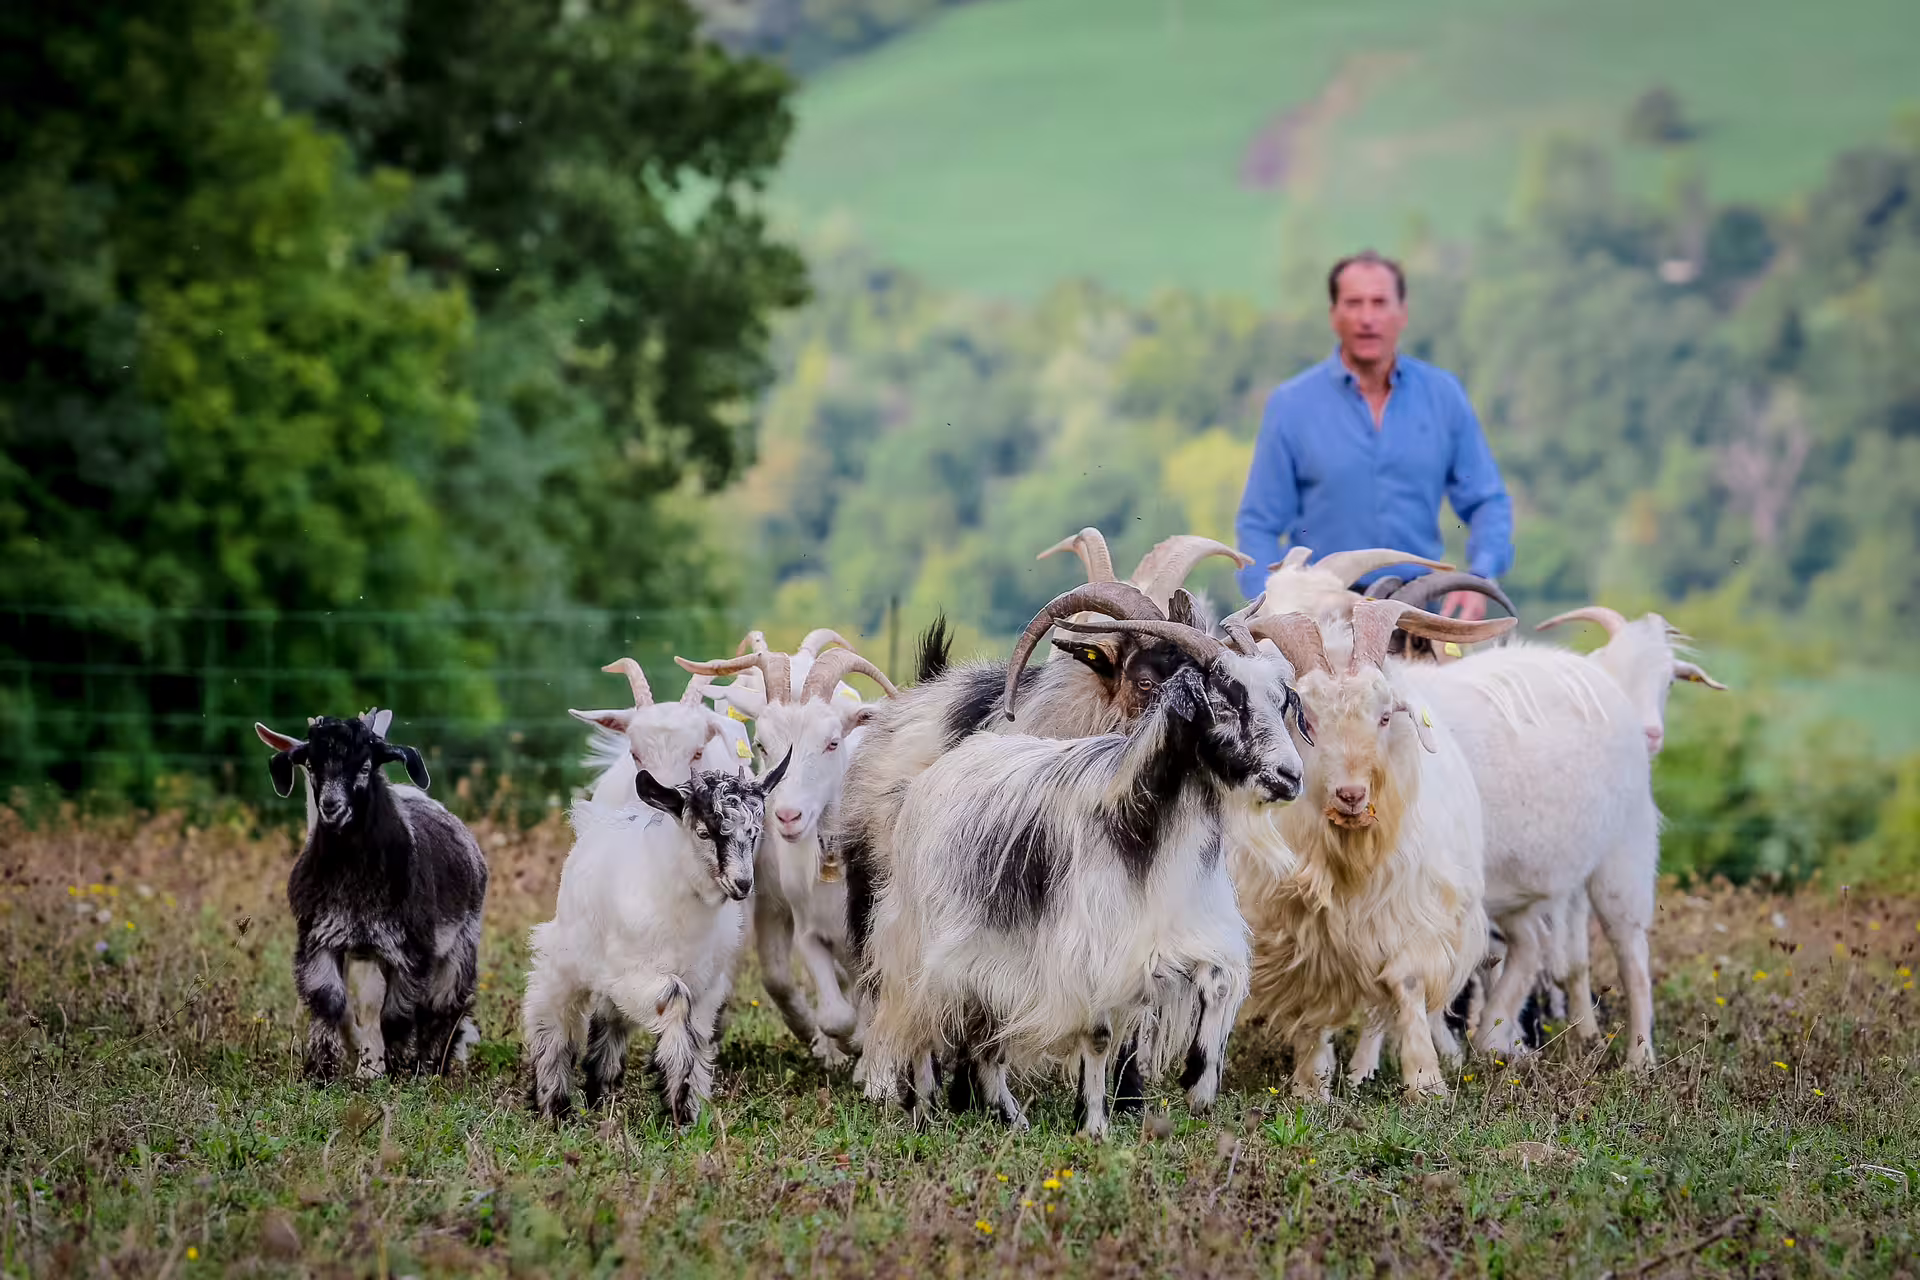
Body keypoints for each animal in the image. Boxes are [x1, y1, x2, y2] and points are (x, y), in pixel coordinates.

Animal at [255, 710, 489, 1080]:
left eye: (365, 766)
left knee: (444, 1004)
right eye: (311, 765)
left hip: (460, 943)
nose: (331, 807)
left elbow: (394, 1013)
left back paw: (434, 1064)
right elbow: (331, 1001)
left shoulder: (408, 949)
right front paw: (323, 1071)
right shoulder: (320, 938)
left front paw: (389, 1070)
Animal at [523, 750, 791, 1125]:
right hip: (567, 956)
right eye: (704, 832)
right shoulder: (634, 975)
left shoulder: (707, 985)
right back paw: (554, 1106)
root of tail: (597, 821)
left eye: (754, 833)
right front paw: (676, 1099)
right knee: (549, 1009)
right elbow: (675, 1000)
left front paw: (687, 1109)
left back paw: (602, 1092)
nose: (742, 884)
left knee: (609, 1018)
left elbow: (698, 1038)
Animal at [674, 635, 898, 1068]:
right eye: (761, 744)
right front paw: (845, 1045)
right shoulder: (808, 927)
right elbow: (836, 1015)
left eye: (832, 742)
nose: (788, 816)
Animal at [860, 620, 1305, 1137]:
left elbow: (1216, 982)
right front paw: (1093, 1124)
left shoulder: (1179, 929)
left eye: (1279, 700)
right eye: (1226, 698)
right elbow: (1098, 1035)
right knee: (923, 1019)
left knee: (987, 1037)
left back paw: (1010, 1116)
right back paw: (925, 1108)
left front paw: (1200, 1083)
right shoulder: (1089, 952)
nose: (1290, 776)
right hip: (925, 940)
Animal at [1241, 601, 1514, 1099]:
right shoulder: (1298, 934)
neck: (1352, 861)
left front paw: (1426, 1082)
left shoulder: (1412, 912)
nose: (1351, 795)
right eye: (1306, 720)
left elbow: (1406, 982)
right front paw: (1310, 1084)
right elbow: (1313, 1003)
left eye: (1385, 715)